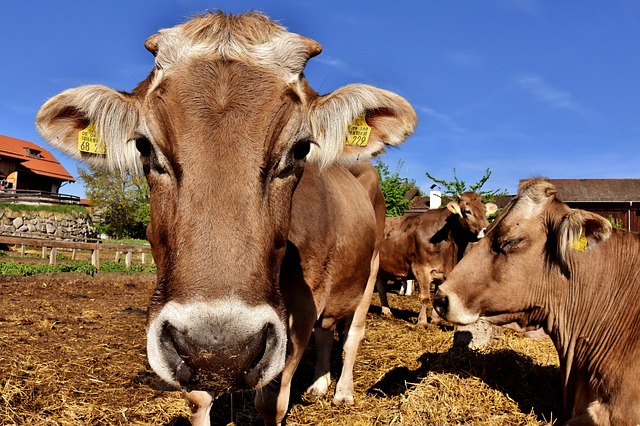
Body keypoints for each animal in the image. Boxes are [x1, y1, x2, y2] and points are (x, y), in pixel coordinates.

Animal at [35, 10, 418, 426]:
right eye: (144, 145)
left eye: (301, 149)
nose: (220, 347)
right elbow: (198, 398)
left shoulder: (299, 313)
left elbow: (272, 402)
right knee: (328, 331)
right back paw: (318, 386)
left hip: (371, 270)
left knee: (352, 334)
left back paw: (343, 392)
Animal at [378, 193, 498, 326]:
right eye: (468, 211)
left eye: (485, 211)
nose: (487, 230)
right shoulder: (421, 269)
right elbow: (425, 297)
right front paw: (422, 322)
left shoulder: (443, 272)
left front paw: (435, 320)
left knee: (381, 288)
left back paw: (387, 311)